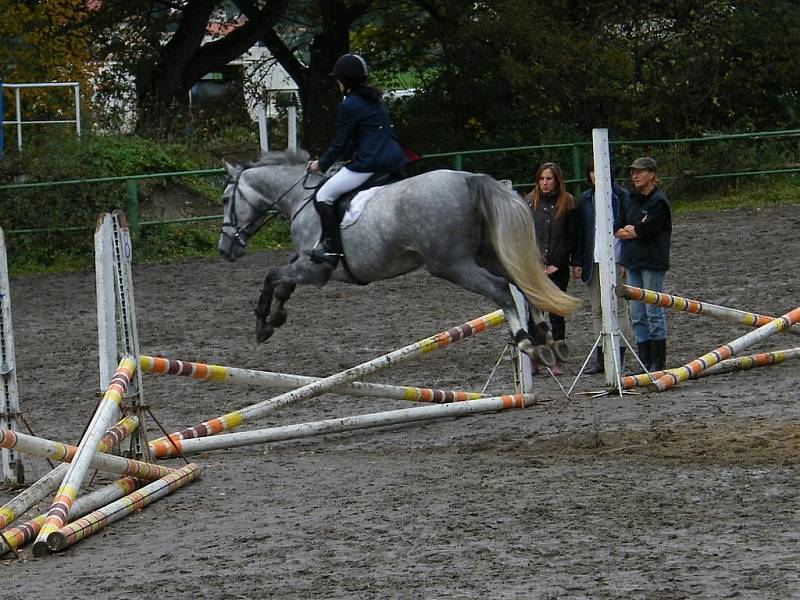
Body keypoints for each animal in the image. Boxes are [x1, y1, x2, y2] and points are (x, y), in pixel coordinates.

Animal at [219, 151, 580, 366]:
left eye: (225, 199)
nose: (225, 250)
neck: (300, 199)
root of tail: (469, 179)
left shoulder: (316, 269)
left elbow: (272, 275)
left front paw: (262, 323)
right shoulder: (305, 265)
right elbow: (282, 282)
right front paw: (274, 320)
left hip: (451, 264)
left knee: (501, 289)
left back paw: (527, 343)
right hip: (485, 254)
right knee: (522, 282)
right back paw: (546, 338)